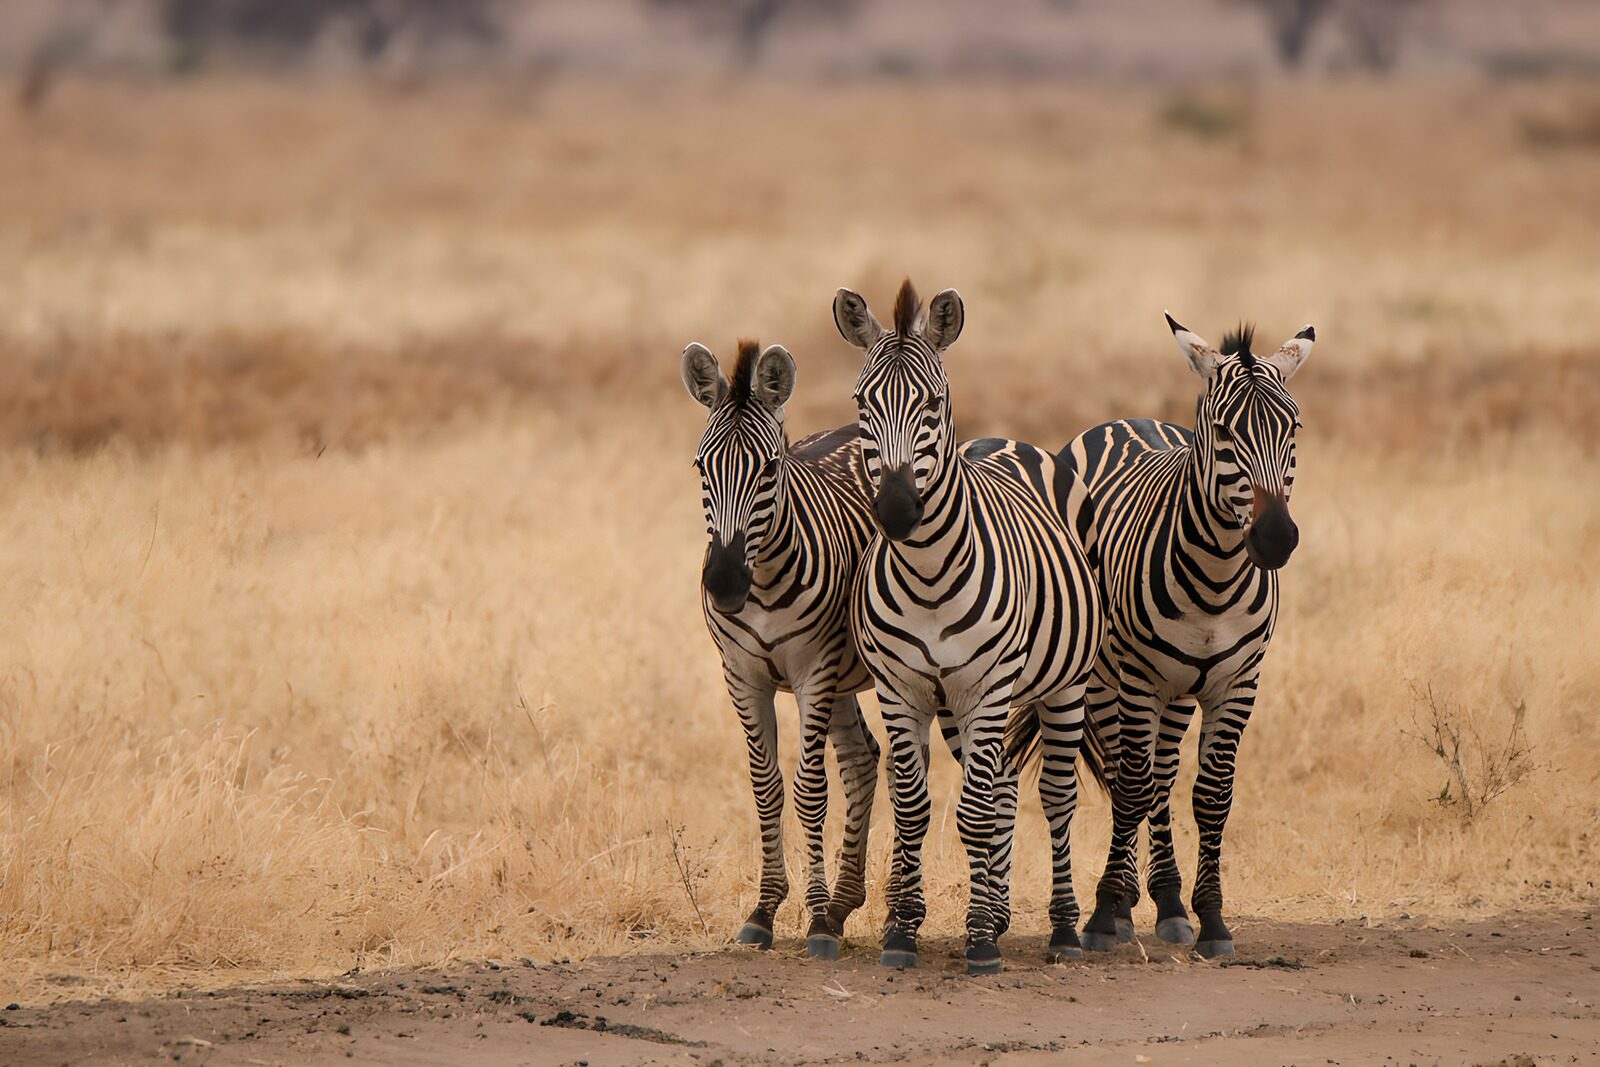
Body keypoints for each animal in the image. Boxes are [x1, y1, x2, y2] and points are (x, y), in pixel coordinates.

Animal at [680, 338, 885, 961]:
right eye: (701, 466)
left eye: (769, 468)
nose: (724, 584)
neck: (764, 581)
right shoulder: (742, 676)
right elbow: (765, 786)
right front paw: (765, 910)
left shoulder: (813, 671)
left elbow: (810, 789)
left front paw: (814, 919)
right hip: (840, 679)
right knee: (863, 758)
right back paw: (844, 904)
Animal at [837, 280, 1103, 975]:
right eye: (861, 401)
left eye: (932, 402)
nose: (896, 510)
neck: (928, 572)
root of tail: (1008, 441)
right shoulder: (901, 689)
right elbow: (914, 810)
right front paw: (903, 930)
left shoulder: (987, 688)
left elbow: (975, 815)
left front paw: (979, 941)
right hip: (957, 705)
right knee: (1004, 782)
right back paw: (1001, 911)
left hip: (1060, 687)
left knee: (1053, 796)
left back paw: (1062, 929)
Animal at [1009, 313, 1314, 960]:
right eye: (1222, 431)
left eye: (1293, 427)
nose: (1275, 538)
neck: (1217, 578)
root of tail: (1126, 420)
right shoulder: (1138, 679)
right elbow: (1130, 786)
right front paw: (1104, 915)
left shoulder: (1238, 683)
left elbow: (1211, 795)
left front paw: (1211, 919)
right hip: (1107, 678)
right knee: (1132, 774)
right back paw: (1124, 902)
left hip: (1178, 691)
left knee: (1165, 774)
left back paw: (1168, 903)